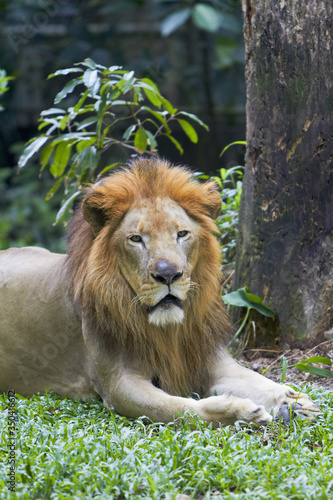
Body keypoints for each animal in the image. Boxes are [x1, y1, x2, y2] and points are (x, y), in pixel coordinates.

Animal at [0, 157, 320, 426]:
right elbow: (178, 408)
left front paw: (294, 401)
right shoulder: (118, 385)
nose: (168, 274)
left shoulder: (213, 360)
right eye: (136, 239)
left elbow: (258, 380)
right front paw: (237, 411)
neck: (168, 331)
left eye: (182, 234)